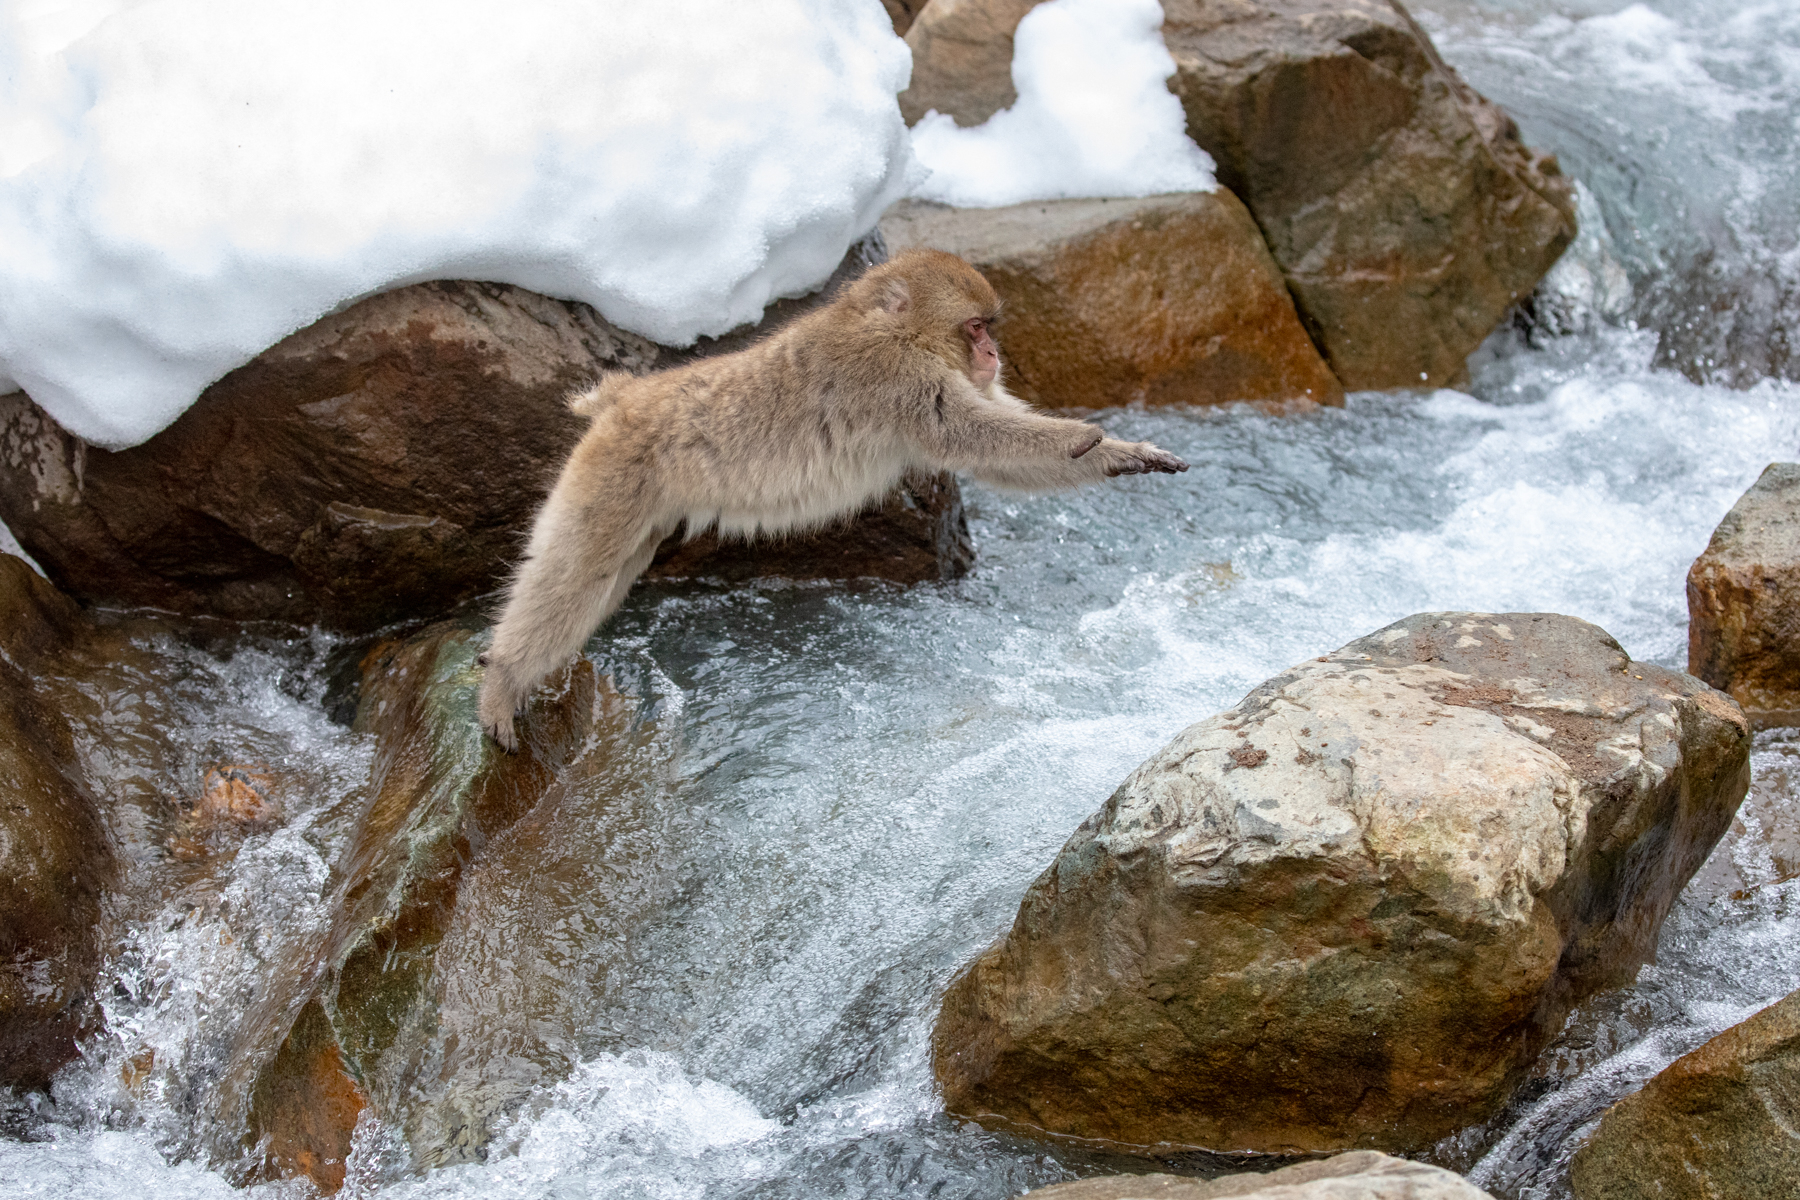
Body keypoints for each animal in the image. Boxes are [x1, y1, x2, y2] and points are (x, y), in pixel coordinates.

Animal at [471, 248, 1188, 744]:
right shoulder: (893, 378)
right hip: (614, 477)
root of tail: (626, 398)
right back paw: (503, 678)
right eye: (976, 327)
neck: (892, 330)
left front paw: (1122, 452)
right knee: (574, 571)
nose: (992, 355)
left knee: (598, 580)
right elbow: (966, 432)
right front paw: (1078, 436)